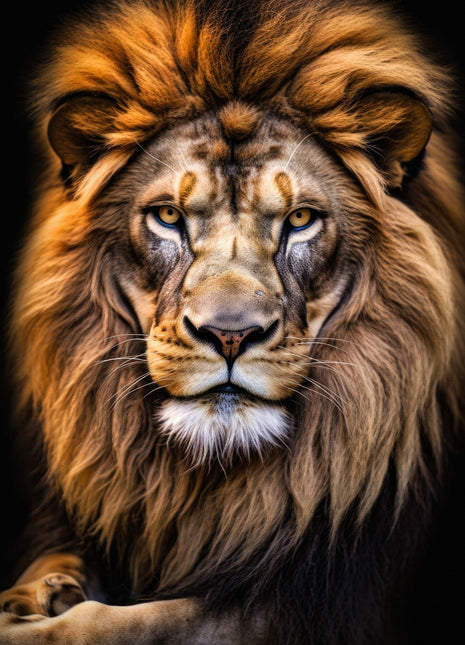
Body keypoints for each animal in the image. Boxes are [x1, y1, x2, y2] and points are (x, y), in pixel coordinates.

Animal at [1, 0, 464, 643]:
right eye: (168, 216)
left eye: (301, 219)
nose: (230, 336)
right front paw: (33, 595)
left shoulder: (313, 604)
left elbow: (120, 624)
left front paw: (28, 622)